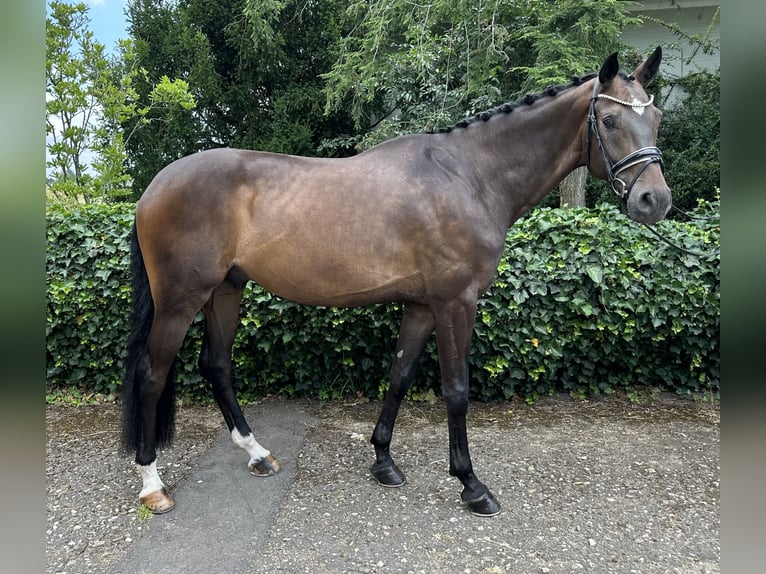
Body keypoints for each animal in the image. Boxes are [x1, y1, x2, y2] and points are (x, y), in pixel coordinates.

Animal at [120, 47, 672, 520]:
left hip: (225, 292)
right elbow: (455, 389)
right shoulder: (455, 303)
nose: (655, 200)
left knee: (216, 365)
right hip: (180, 300)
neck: (469, 176)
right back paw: (153, 484)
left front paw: (383, 461)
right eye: (609, 120)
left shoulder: (422, 305)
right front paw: (472, 486)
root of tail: (154, 187)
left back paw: (256, 453)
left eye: (656, 119)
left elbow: (400, 376)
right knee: (151, 372)